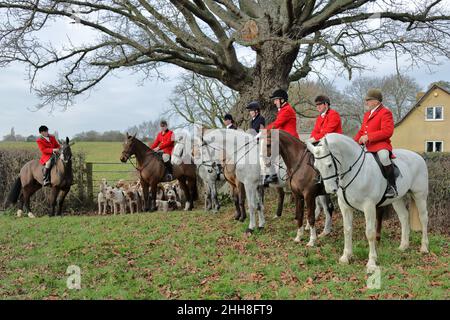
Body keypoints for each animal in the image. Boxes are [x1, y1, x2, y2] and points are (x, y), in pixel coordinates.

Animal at [306, 134, 428, 272]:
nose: (329, 190)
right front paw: (346, 257)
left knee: (423, 218)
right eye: (316, 167)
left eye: (329, 165)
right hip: (397, 200)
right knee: (404, 217)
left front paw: (371, 262)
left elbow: (370, 233)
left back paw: (424, 247)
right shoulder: (345, 206)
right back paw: (404, 246)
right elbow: (347, 230)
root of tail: (418, 156)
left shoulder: (369, 206)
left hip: (420, 195)